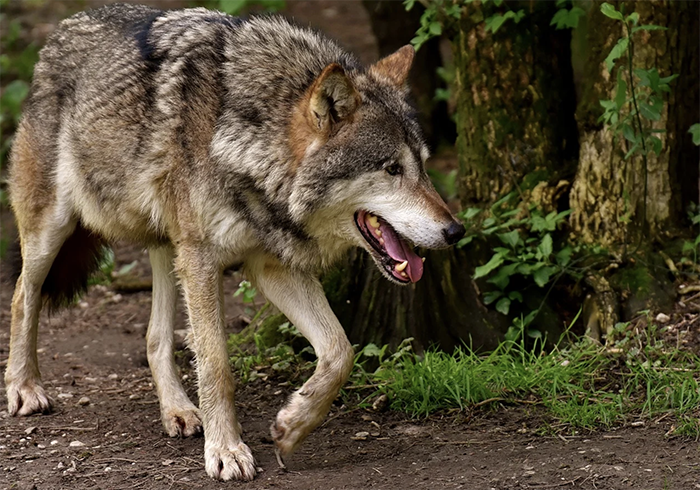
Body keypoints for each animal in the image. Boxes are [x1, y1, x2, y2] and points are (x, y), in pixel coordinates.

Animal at [4, 3, 465, 481]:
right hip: (54, 230)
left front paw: (292, 426)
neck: (248, 144)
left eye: (424, 167)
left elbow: (341, 351)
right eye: (392, 169)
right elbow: (217, 365)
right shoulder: (204, 260)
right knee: (22, 295)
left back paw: (179, 411)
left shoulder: (270, 266)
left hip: (169, 247)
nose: (455, 231)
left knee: (155, 337)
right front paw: (225, 450)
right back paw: (24, 388)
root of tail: (64, 27)